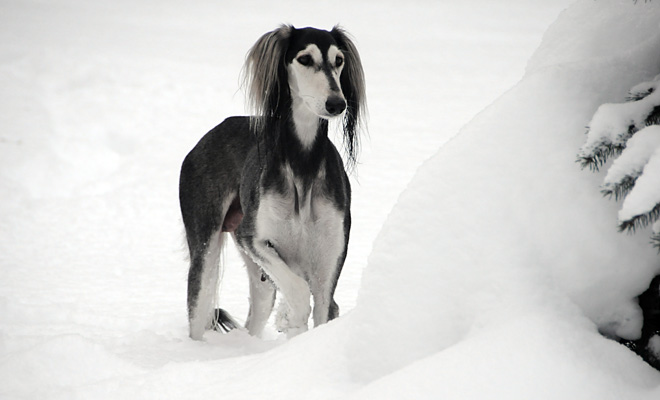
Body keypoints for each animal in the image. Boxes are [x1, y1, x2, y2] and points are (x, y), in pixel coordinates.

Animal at [179, 24, 366, 340]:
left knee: (256, 313)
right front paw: (290, 318)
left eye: (338, 60)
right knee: (199, 308)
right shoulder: (252, 237)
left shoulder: (328, 265)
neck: (303, 164)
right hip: (206, 250)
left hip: (262, 278)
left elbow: (321, 306)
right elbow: (299, 294)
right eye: (304, 59)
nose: (337, 104)